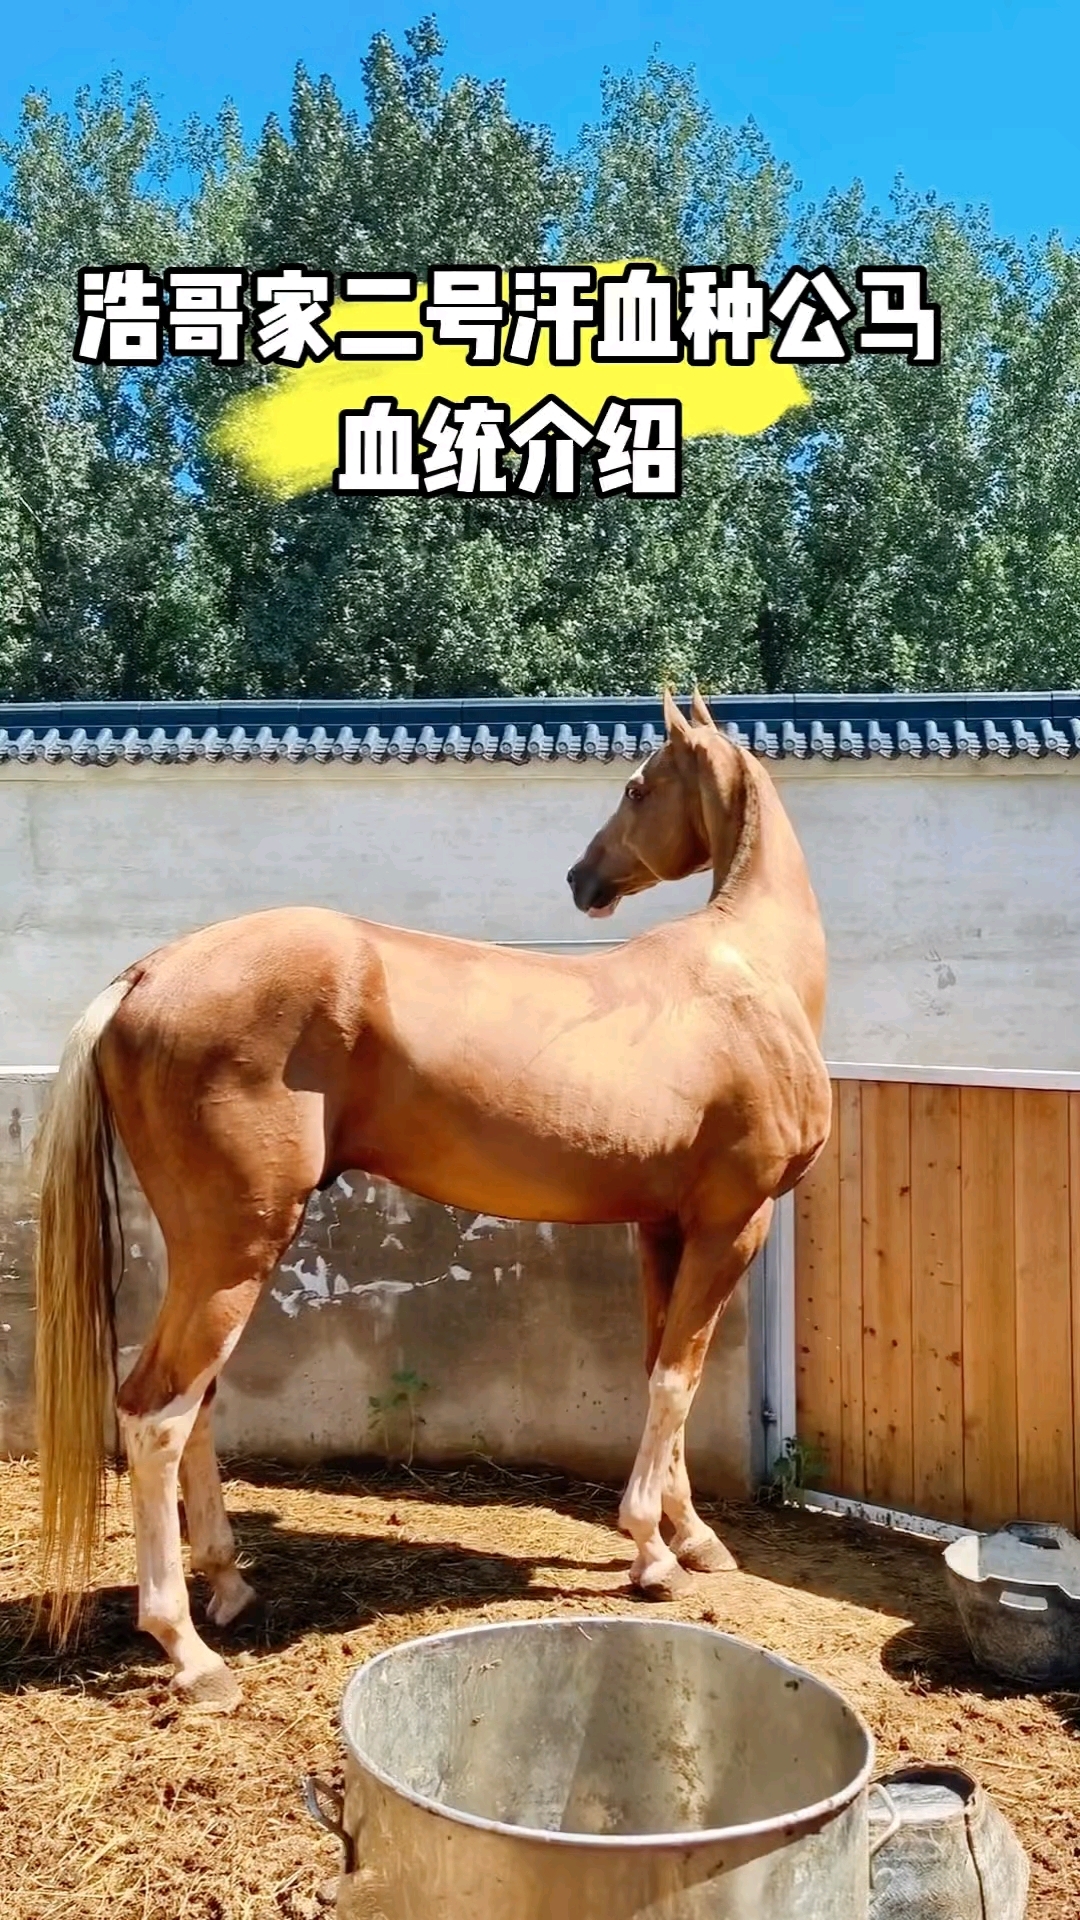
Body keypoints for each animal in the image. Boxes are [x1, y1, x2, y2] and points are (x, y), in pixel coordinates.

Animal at [32, 688, 831, 1710]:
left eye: (637, 786)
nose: (582, 876)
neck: (746, 973)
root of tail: (149, 972)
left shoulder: (665, 1227)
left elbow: (665, 1370)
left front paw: (686, 1538)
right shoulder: (734, 1222)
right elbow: (675, 1380)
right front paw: (652, 1552)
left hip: (216, 1257)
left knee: (194, 1400)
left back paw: (231, 1587)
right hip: (235, 1248)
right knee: (154, 1414)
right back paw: (189, 1652)